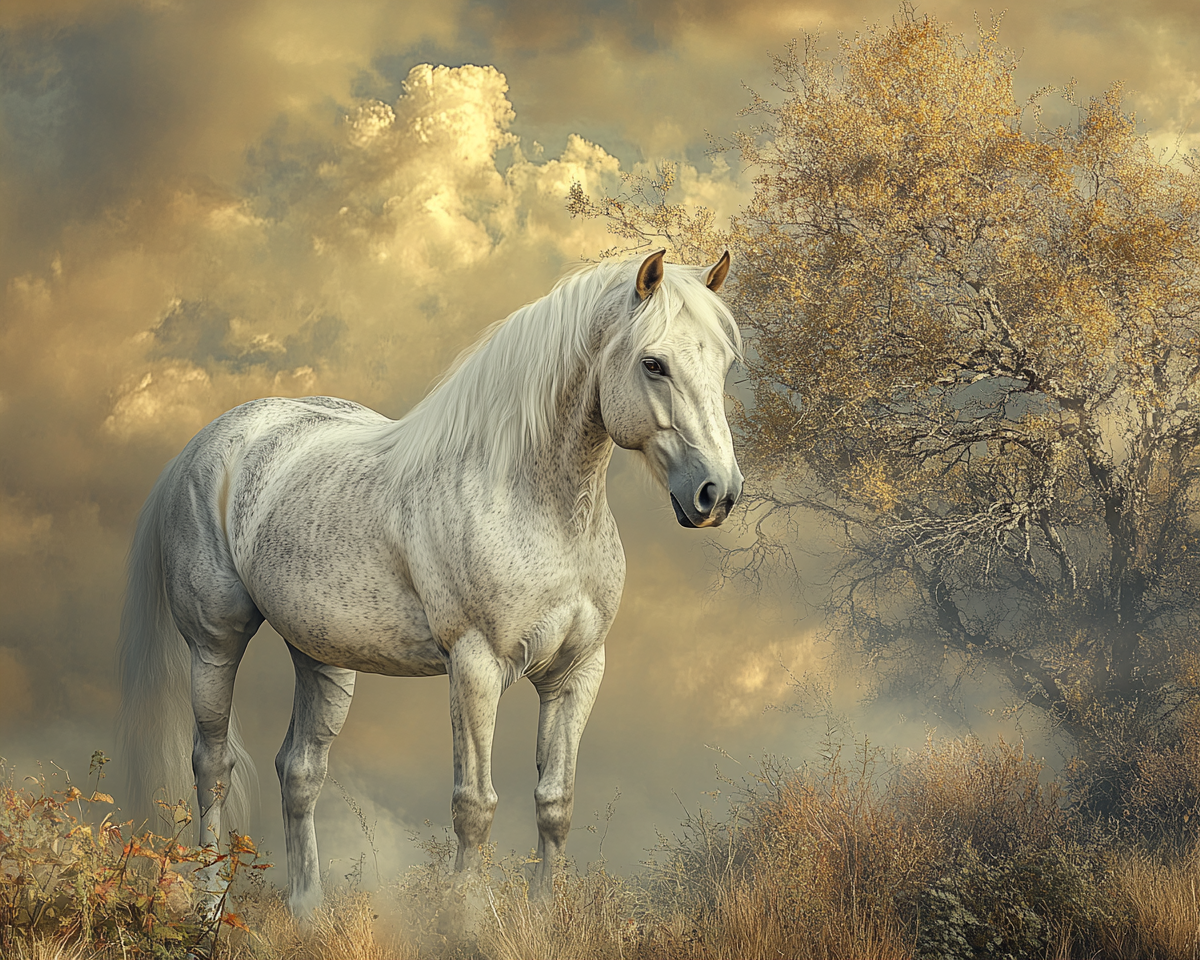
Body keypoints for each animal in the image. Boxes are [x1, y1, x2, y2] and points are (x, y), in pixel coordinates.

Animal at [117, 249, 744, 916]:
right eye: (653, 363)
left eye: (725, 363)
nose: (717, 494)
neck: (533, 501)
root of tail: (206, 443)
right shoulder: (474, 666)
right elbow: (475, 806)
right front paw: (464, 921)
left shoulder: (576, 672)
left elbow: (555, 803)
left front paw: (543, 916)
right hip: (215, 643)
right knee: (212, 764)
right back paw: (210, 905)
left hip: (321, 654)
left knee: (300, 770)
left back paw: (309, 914)